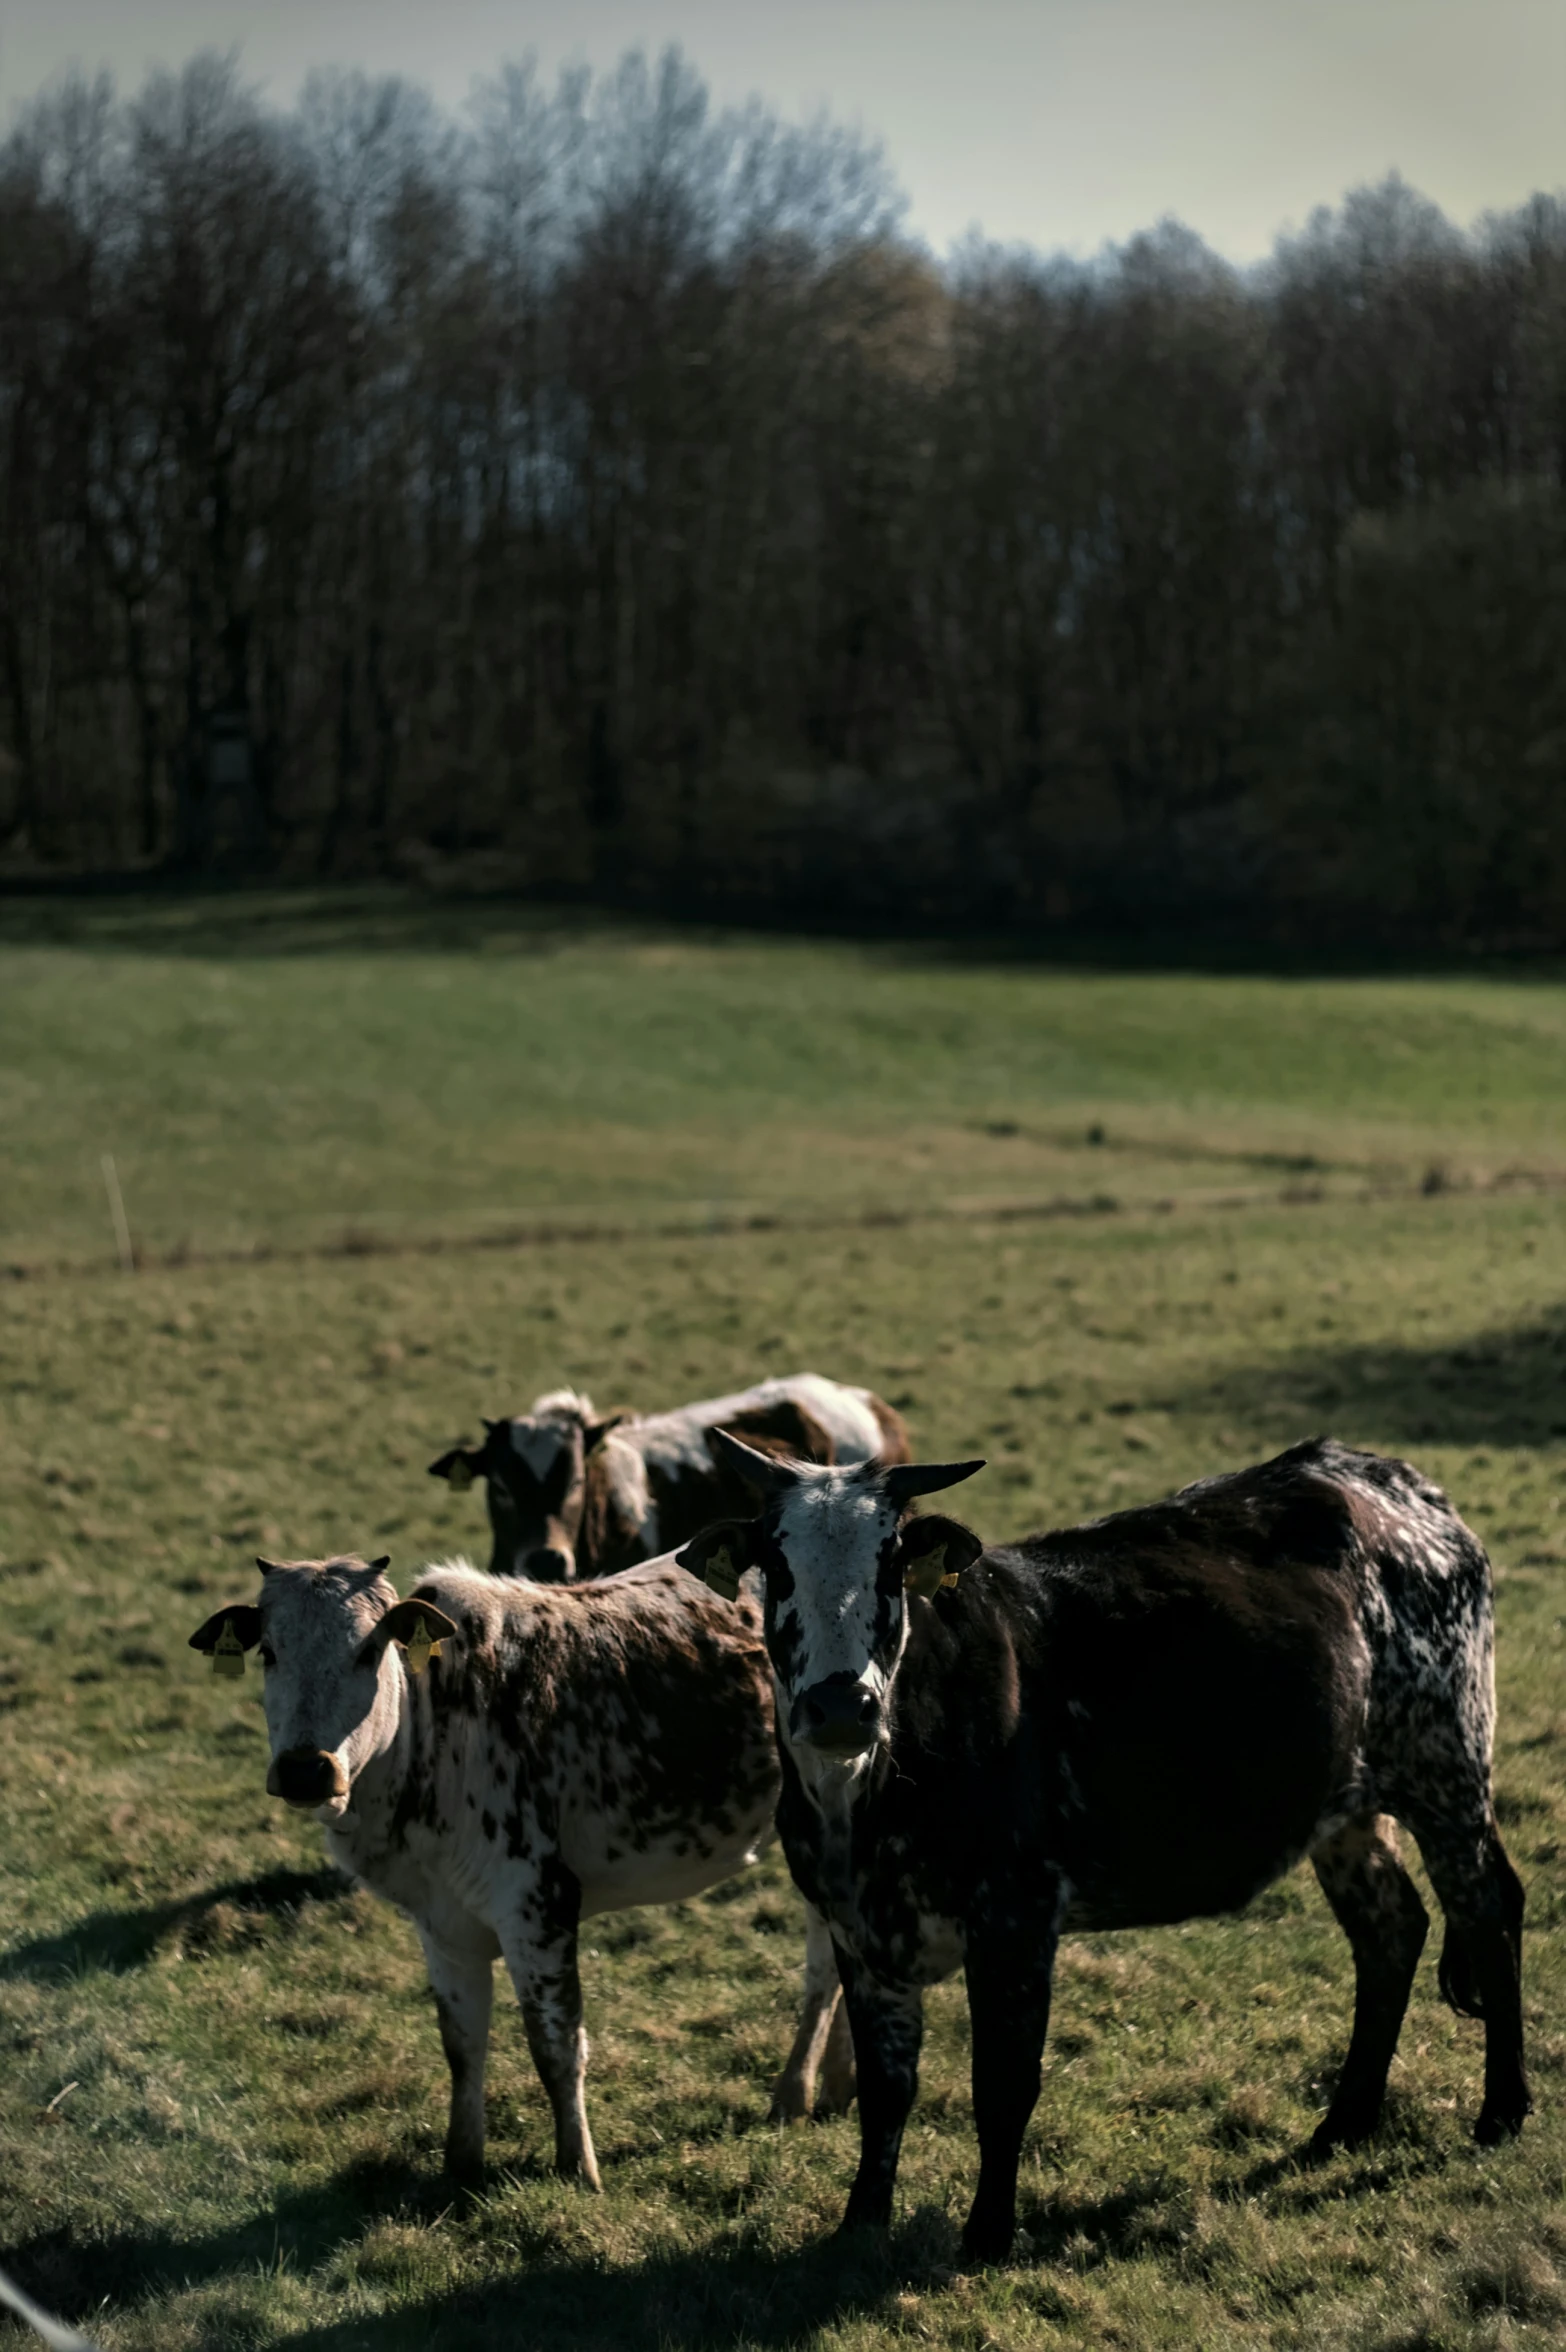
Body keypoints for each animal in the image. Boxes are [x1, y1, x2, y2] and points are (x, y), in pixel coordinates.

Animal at [196, 1542, 855, 2182]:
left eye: (369, 1650)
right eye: (270, 1652)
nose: (306, 1768)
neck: (433, 1735)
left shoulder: (537, 1905)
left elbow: (555, 2041)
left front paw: (577, 2166)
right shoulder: (442, 1923)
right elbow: (461, 2043)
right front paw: (460, 2165)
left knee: (823, 1966)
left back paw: (793, 2093)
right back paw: (840, 2088)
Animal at [672, 1430, 1523, 2257]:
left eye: (890, 1566)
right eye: (777, 1567)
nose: (841, 1706)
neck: (868, 1796)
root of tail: (1383, 1477)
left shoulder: (1015, 1921)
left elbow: (1002, 2084)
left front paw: (987, 2234)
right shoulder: (857, 1929)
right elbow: (886, 2089)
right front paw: (860, 2224)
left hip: (1447, 1766)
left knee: (1490, 1907)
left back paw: (1502, 2112)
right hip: (1346, 1810)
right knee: (1391, 1931)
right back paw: (1344, 2122)